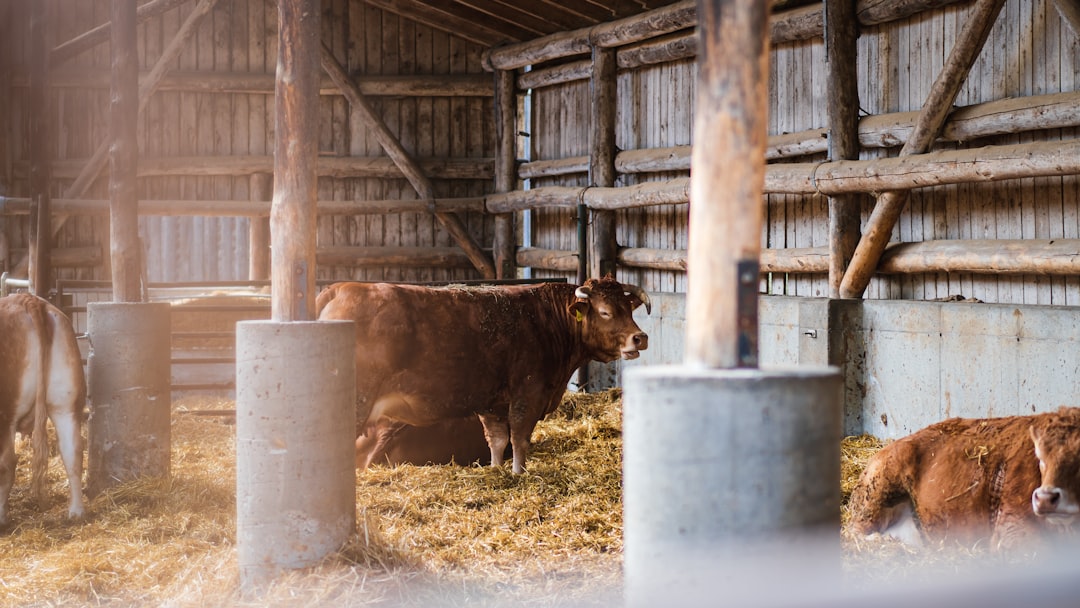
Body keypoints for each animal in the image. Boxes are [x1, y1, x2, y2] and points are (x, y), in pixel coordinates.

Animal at [315, 276, 648, 475]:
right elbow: (520, 438)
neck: (547, 320)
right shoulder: (528, 392)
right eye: (605, 311)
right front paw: (518, 473)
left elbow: (498, 440)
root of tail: (345, 287)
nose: (640, 338)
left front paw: (497, 470)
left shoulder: (492, 402)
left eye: (629, 308)